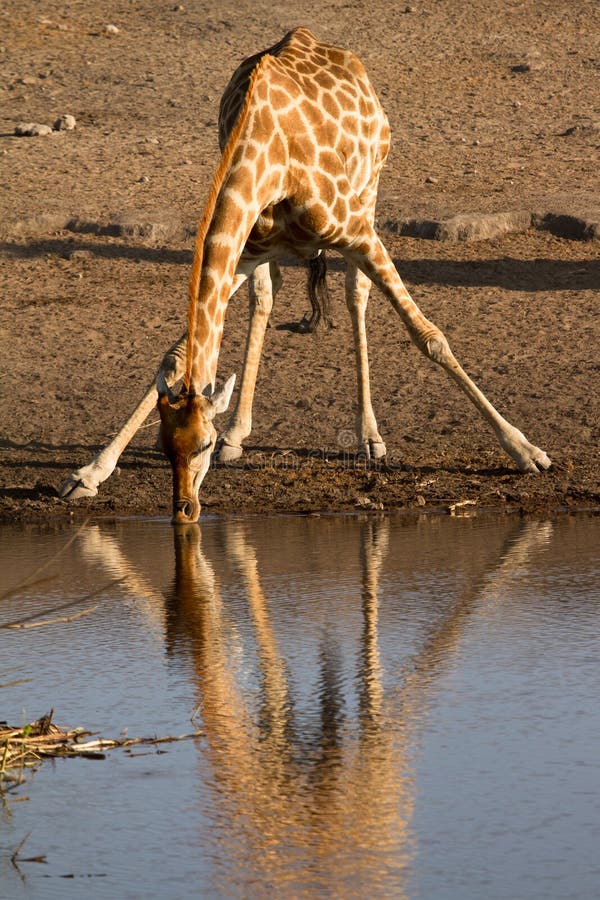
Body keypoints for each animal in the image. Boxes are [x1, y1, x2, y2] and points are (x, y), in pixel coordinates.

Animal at [60, 28, 550, 523]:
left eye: (203, 444)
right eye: (164, 448)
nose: (184, 509)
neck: (264, 154)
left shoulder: (356, 232)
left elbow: (429, 337)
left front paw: (526, 451)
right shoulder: (246, 249)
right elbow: (176, 356)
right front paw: (89, 474)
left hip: (369, 191)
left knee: (356, 293)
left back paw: (369, 436)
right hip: (274, 249)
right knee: (267, 294)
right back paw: (240, 432)